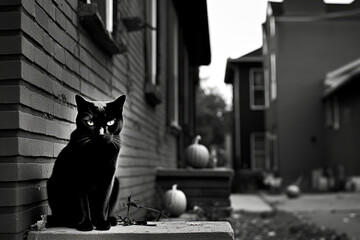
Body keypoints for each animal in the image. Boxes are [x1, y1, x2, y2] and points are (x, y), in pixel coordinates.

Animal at [46, 94, 126, 231]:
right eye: (90, 122)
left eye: (110, 122)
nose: (101, 134)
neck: (97, 155)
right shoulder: (79, 177)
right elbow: (83, 203)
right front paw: (85, 224)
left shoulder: (108, 179)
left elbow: (103, 203)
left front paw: (102, 223)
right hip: (52, 185)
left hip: (117, 182)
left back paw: (110, 220)